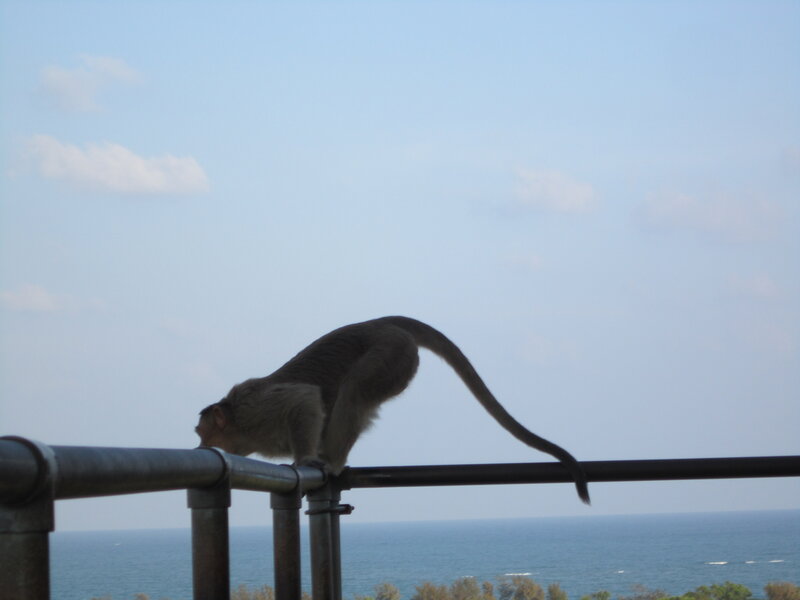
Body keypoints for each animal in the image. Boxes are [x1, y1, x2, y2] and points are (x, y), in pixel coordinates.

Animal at [196, 316, 590, 504]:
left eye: (201, 431)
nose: (200, 447)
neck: (241, 424)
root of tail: (381, 322)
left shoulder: (258, 407)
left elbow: (304, 399)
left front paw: (307, 459)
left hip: (392, 355)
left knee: (354, 392)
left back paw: (332, 462)